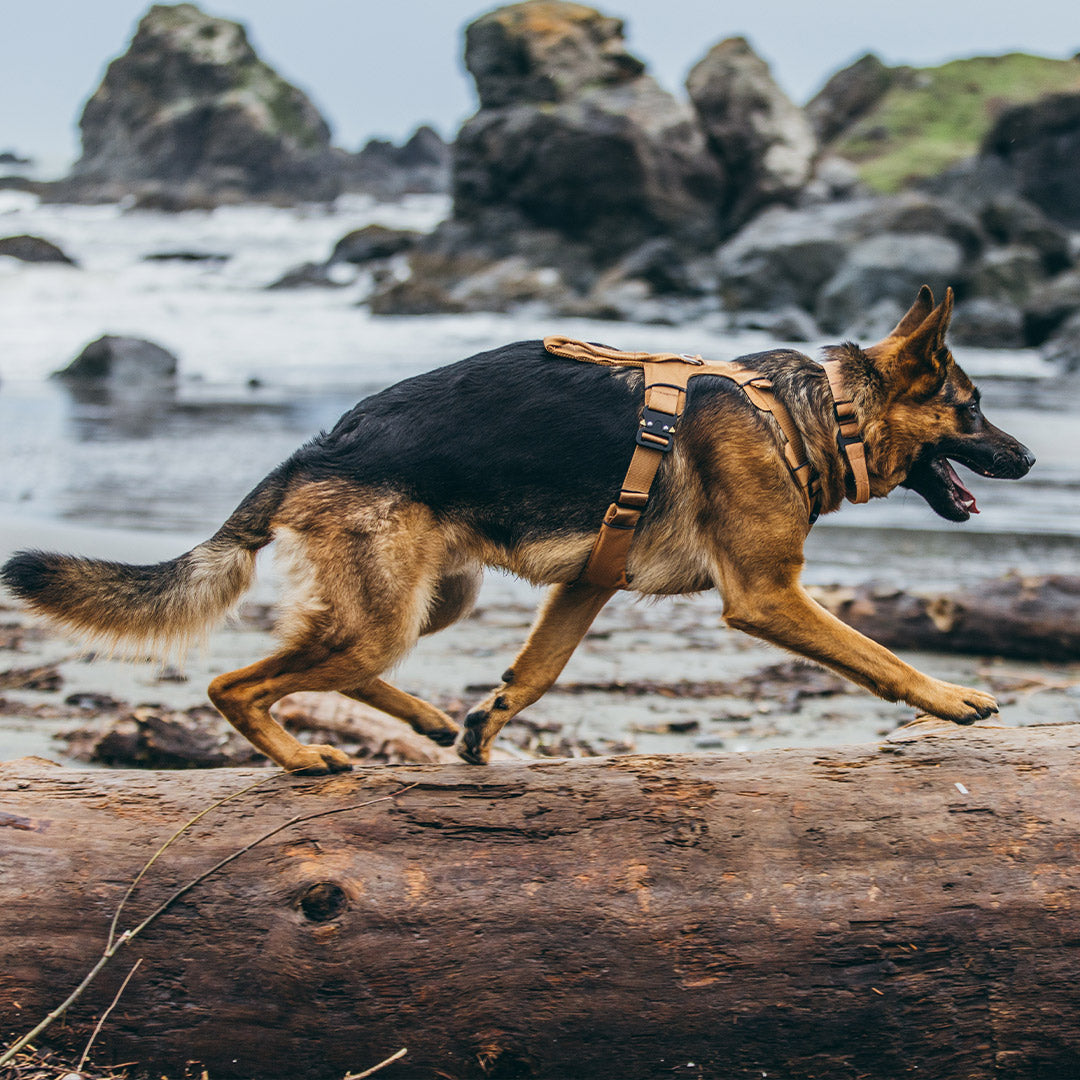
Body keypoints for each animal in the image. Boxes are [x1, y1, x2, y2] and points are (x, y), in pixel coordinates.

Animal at [6, 289, 1036, 768]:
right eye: (973, 409)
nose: (1028, 460)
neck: (814, 412)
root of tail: (318, 449)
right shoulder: (769, 597)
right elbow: (877, 655)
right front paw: (950, 698)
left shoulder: (588, 583)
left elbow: (535, 673)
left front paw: (485, 723)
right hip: (387, 613)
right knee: (236, 683)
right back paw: (300, 758)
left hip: (431, 601)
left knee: (326, 663)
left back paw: (425, 718)